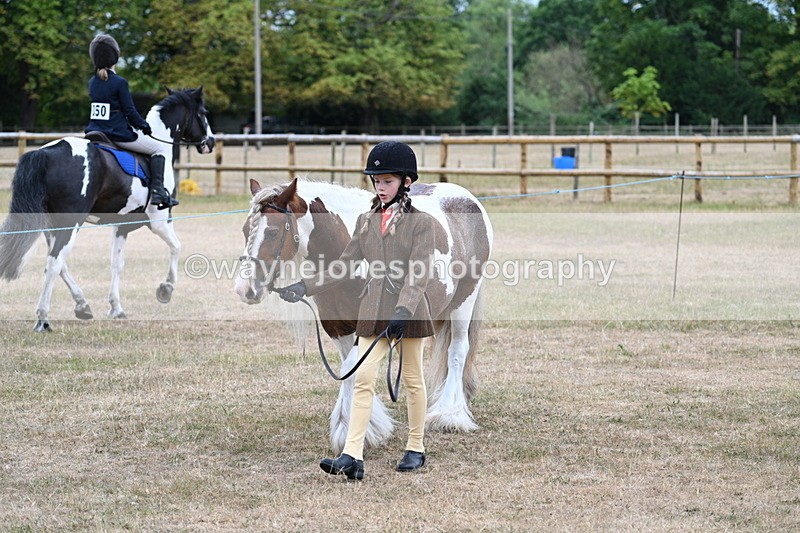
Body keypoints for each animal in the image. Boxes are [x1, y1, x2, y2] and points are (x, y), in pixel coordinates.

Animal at [0, 87, 215, 332]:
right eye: (203, 113)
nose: (210, 142)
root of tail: (45, 153)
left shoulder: (122, 226)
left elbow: (116, 264)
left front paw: (116, 308)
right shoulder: (159, 221)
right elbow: (177, 247)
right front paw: (165, 289)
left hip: (51, 225)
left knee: (58, 263)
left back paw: (82, 305)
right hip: (70, 223)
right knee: (54, 263)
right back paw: (43, 318)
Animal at [234, 177, 494, 455]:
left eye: (272, 232)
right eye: (245, 230)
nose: (244, 289)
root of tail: (467, 198)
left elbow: (353, 368)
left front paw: (355, 430)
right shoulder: (337, 326)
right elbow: (350, 370)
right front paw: (362, 428)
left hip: (464, 301)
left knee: (457, 351)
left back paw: (449, 415)